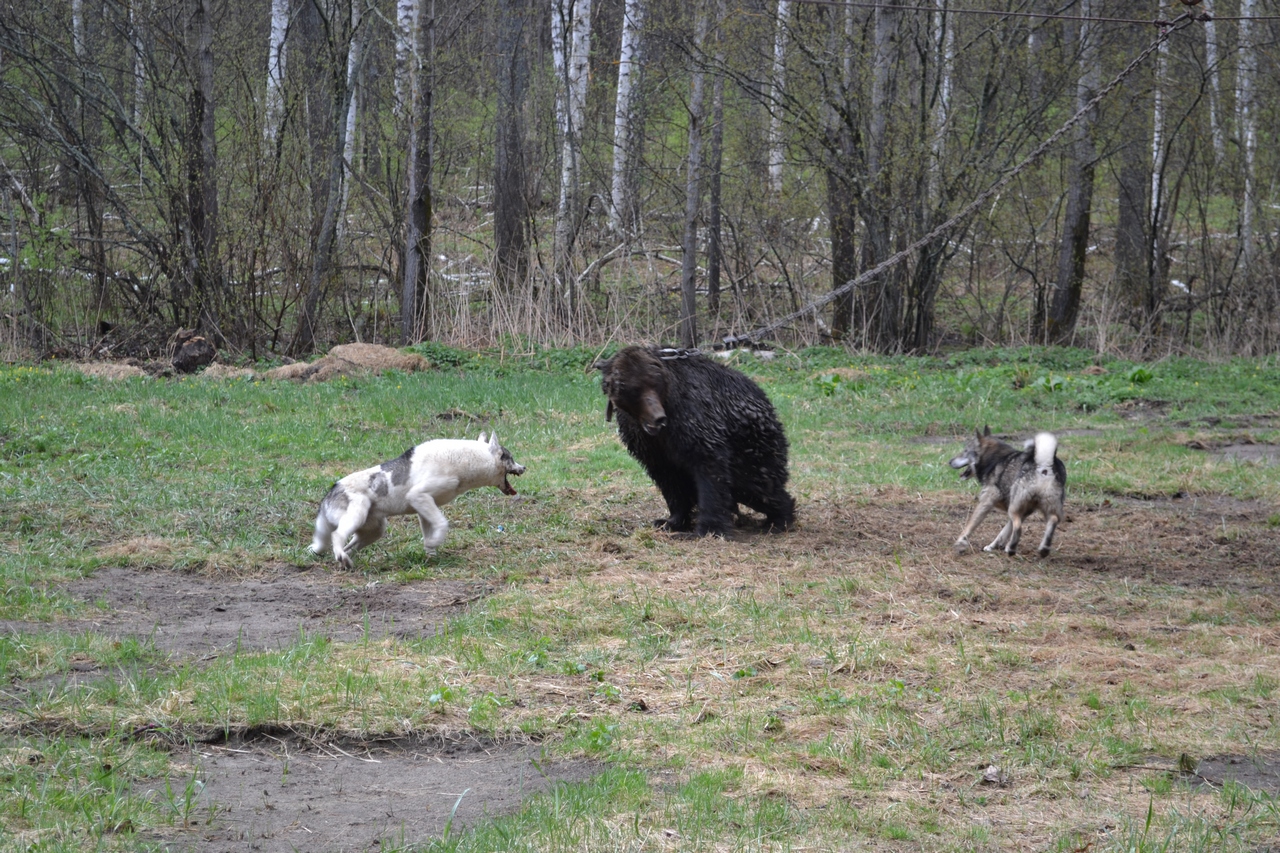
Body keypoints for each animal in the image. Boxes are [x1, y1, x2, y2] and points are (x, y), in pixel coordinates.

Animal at [310, 432, 525, 569]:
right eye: (510, 458)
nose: (524, 467)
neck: (463, 461)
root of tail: (329, 493)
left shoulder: (424, 507)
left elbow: (429, 536)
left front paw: (431, 555)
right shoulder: (419, 496)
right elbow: (443, 525)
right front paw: (434, 544)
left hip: (374, 530)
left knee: (348, 546)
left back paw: (344, 560)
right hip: (357, 513)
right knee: (337, 536)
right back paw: (343, 558)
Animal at [595, 345, 795, 537]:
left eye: (655, 384)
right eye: (634, 390)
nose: (658, 418)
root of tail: (768, 404)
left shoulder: (692, 417)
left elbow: (709, 468)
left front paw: (708, 529)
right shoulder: (649, 444)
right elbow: (669, 480)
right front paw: (670, 521)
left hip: (753, 448)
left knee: (757, 486)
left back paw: (778, 520)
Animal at [948, 427, 1065, 557]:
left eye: (965, 451)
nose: (950, 461)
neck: (994, 460)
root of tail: (1044, 465)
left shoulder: (986, 502)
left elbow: (970, 526)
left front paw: (960, 543)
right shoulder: (1025, 512)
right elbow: (1004, 532)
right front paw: (992, 546)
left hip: (1013, 509)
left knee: (1018, 527)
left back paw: (1012, 548)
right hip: (1044, 508)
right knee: (1053, 520)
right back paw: (1043, 548)